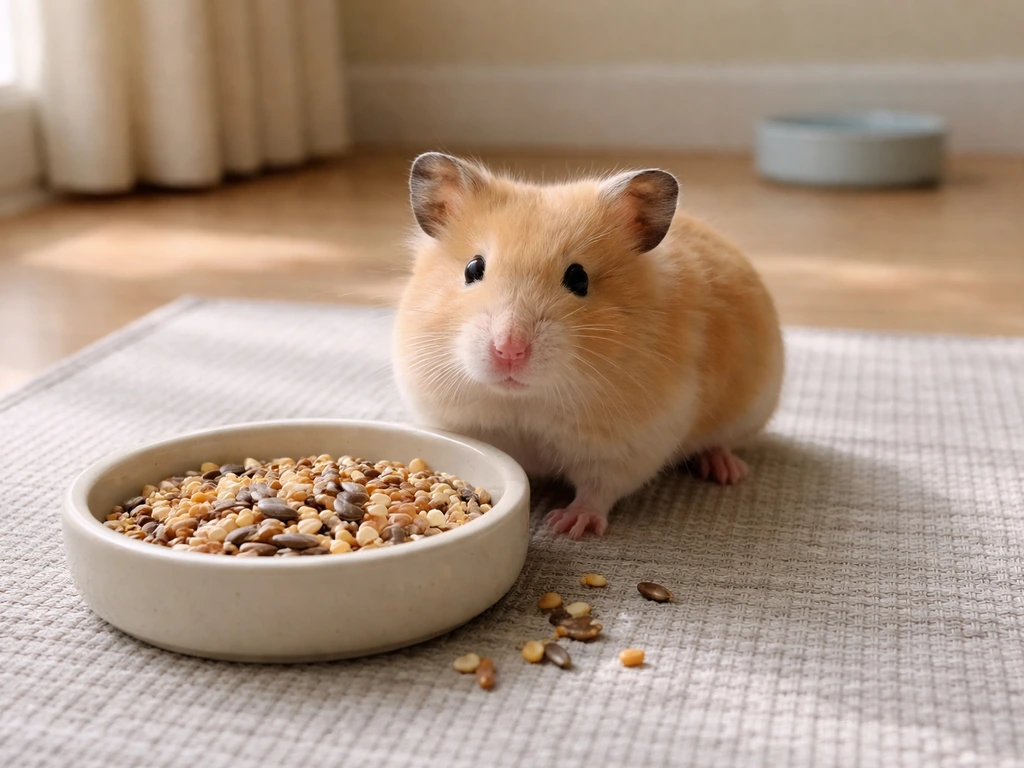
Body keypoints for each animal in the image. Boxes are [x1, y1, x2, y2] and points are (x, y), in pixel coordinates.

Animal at [393, 152, 784, 539]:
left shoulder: (630, 445)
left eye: (578, 278)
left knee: (721, 444)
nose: (509, 350)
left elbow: (599, 489)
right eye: (473, 269)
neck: (526, 399)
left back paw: (727, 470)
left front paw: (567, 526)